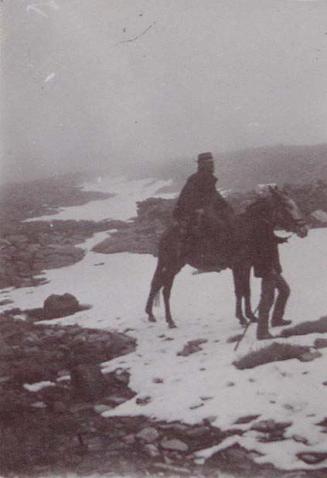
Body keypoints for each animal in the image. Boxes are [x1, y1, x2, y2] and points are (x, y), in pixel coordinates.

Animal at [146, 187, 310, 328]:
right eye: (287, 206)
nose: (304, 229)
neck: (247, 230)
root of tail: (166, 233)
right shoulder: (238, 266)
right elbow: (240, 291)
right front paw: (242, 318)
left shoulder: (246, 266)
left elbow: (246, 290)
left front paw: (250, 316)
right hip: (172, 265)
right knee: (165, 289)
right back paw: (170, 320)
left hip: (172, 265)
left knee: (157, 284)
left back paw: (151, 314)